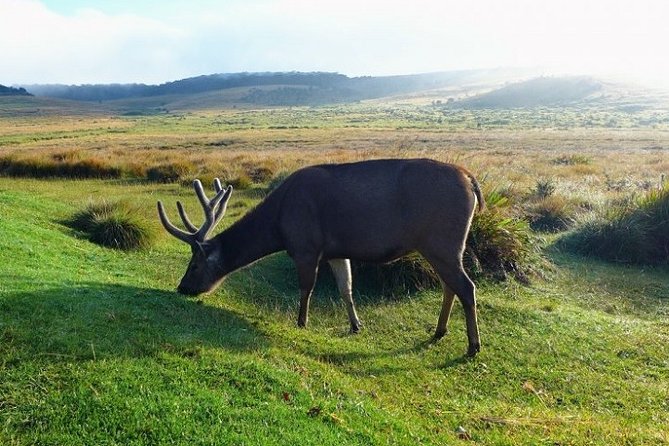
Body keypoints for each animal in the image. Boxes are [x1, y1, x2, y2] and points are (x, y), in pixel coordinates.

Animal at [157, 158, 485, 356]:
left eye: (194, 265)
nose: (182, 287)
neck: (278, 226)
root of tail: (471, 180)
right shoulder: (336, 252)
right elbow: (346, 289)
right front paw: (355, 325)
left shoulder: (305, 245)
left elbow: (307, 287)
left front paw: (301, 322)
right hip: (442, 245)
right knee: (450, 286)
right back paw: (440, 331)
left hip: (441, 240)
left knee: (466, 287)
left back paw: (472, 345)